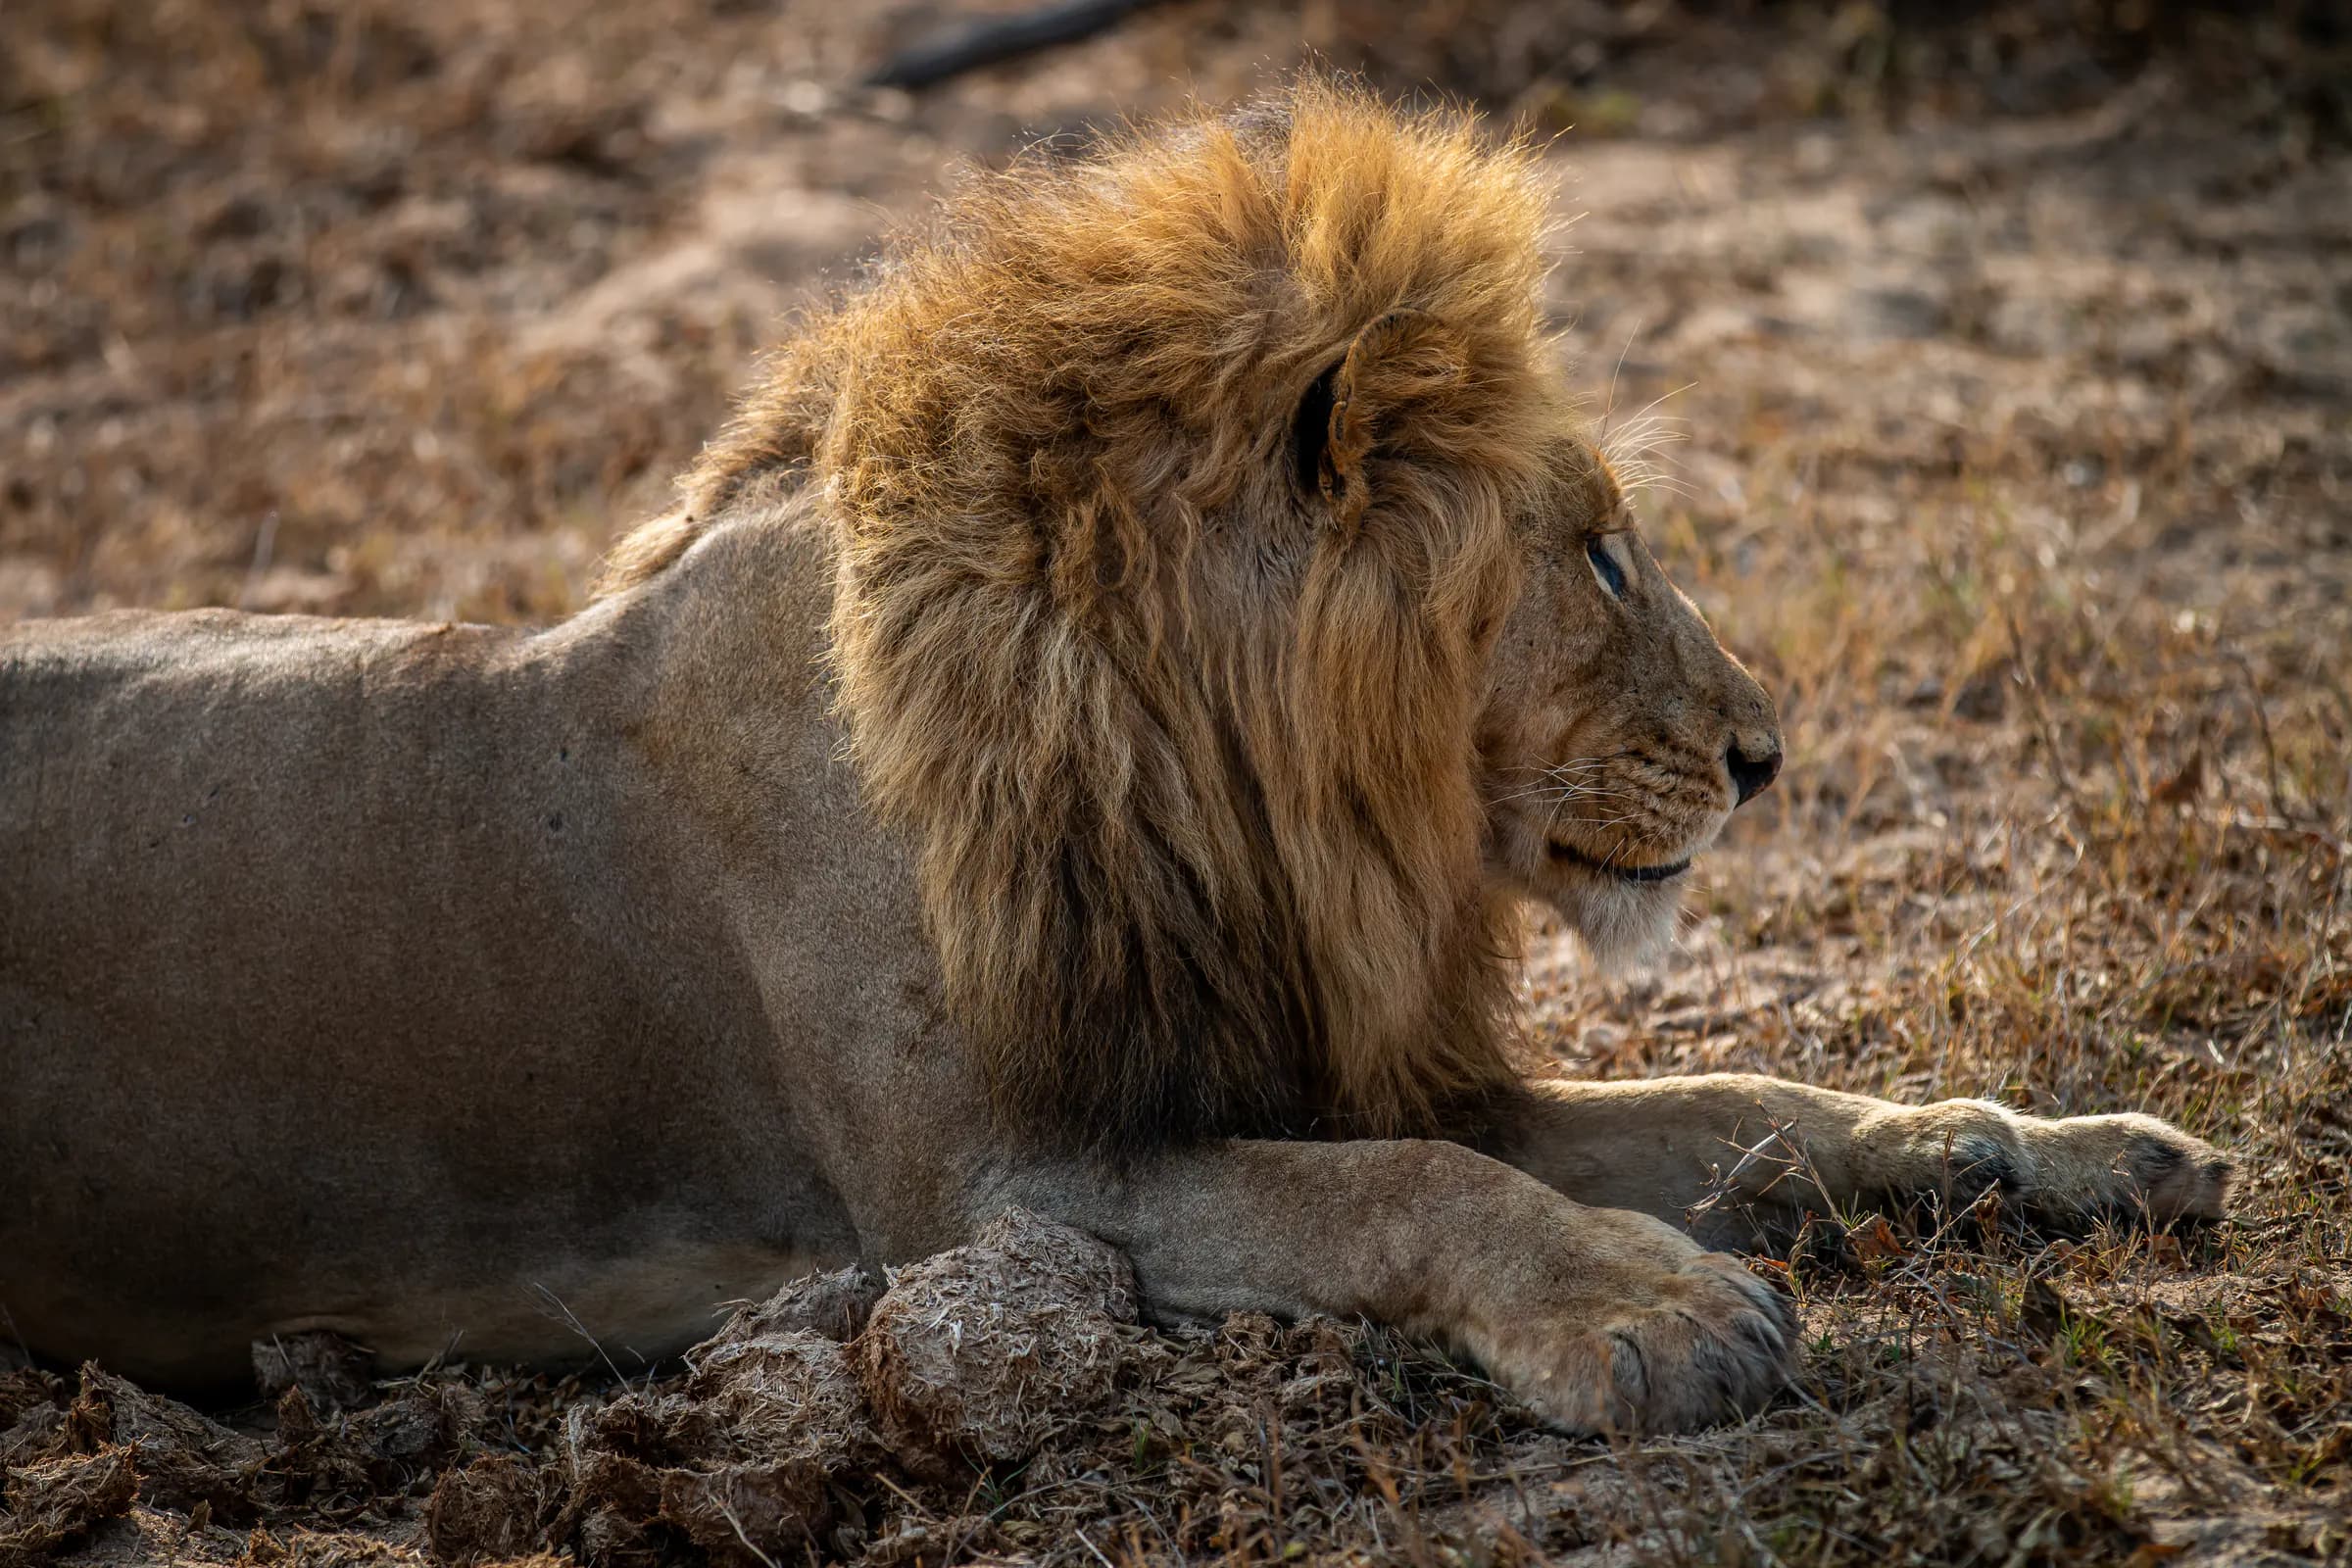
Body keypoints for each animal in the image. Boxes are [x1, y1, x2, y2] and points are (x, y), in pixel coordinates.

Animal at [0, 81, 2230, 1433]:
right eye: (1596, 548)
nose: (1770, 758)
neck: (1232, 782)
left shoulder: (1304, 1056)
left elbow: (1745, 1099)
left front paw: (2058, 1151)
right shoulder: (988, 1195)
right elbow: (1413, 1188)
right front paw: (1656, 1309)